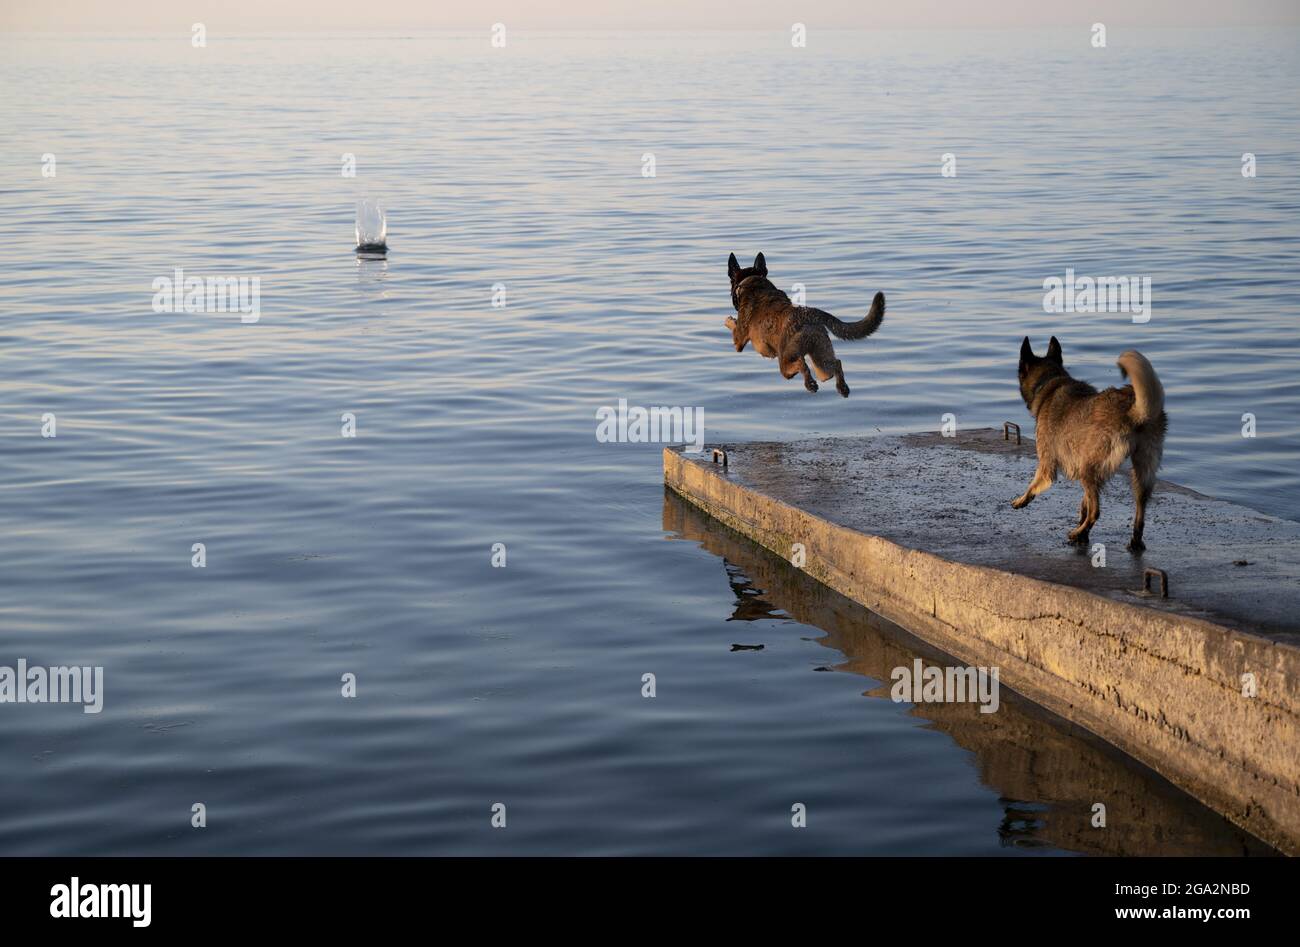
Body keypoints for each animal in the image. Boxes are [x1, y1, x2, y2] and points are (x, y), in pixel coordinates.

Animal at [722, 251, 883, 395]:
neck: (752, 281)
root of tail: (808, 314)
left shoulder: (739, 341)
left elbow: (734, 328)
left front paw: (729, 320)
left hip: (786, 361)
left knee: (801, 364)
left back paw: (810, 384)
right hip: (822, 361)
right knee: (836, 364)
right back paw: (842, 387)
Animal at [1013, 338, 1170, 546]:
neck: (1050, 383)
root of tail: (1134, 410)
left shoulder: (1047, 464)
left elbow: (1035, 483)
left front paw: (1022, 499)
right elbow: (1084, 502)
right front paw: (1082, 521)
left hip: (1088, 469)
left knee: (1096, 512)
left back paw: (1078, 533)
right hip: (1143, 470)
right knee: (1139, 509)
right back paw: (1133, 540)